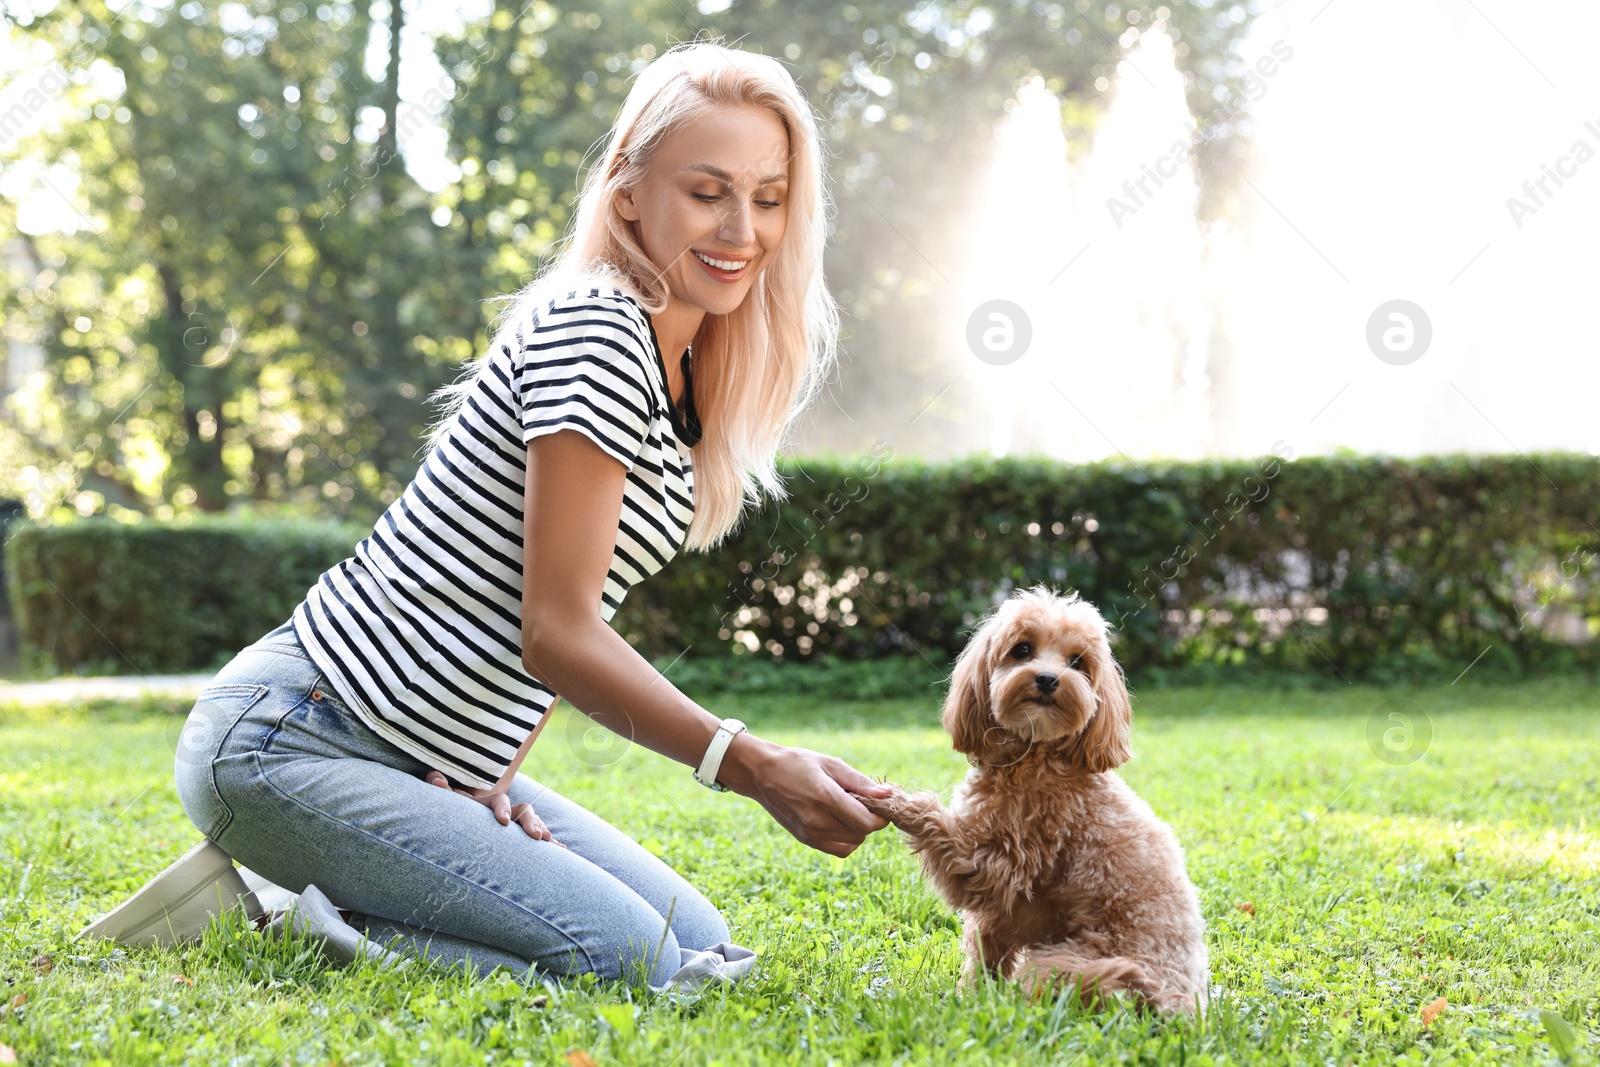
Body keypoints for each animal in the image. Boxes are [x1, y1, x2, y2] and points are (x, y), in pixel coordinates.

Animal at [857, 588, 1203, 1017]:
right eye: (1022, 649)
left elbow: (935, 821)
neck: (1035, 757)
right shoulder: (1000, 916)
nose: (1048, 679)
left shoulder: (998, 866)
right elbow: (985, 958)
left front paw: (890, 799)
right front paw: (975, 1002)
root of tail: (1178, 1002)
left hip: (1078, 961)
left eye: (1077, 661)